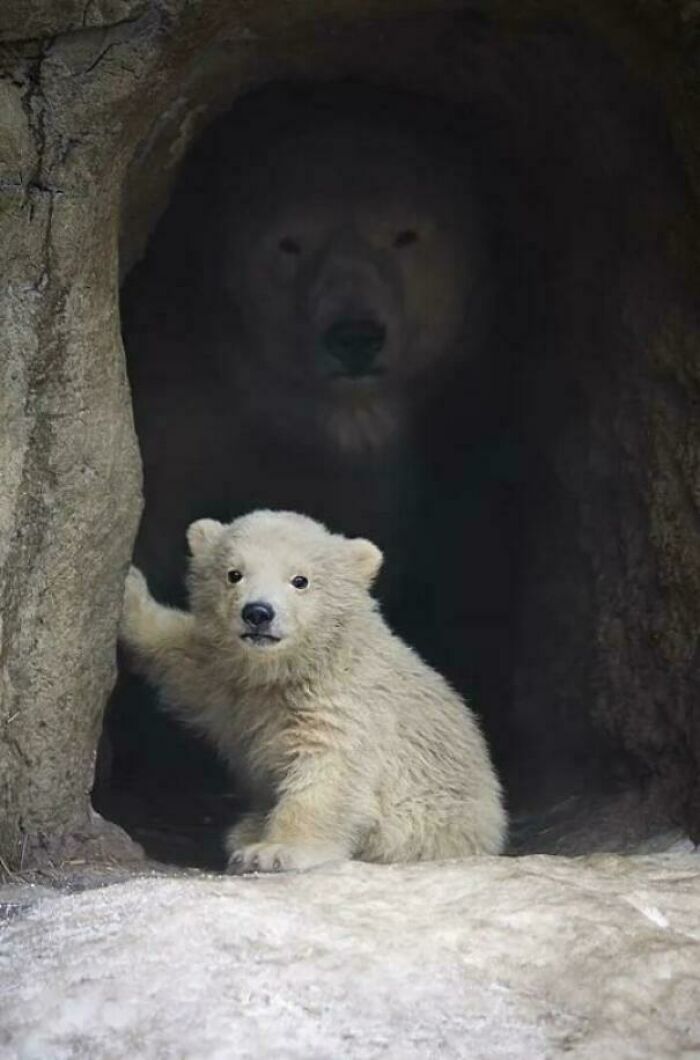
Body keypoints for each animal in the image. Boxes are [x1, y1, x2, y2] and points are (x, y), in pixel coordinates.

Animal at [119, 509, 507, 872]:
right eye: (234, 573)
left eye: (300, 580)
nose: (258, 613)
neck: (290, 669)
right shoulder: (228, 678)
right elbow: (183, 660)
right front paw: (129, 591)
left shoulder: (345, 704)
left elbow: (329, 776)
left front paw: (273, 851)